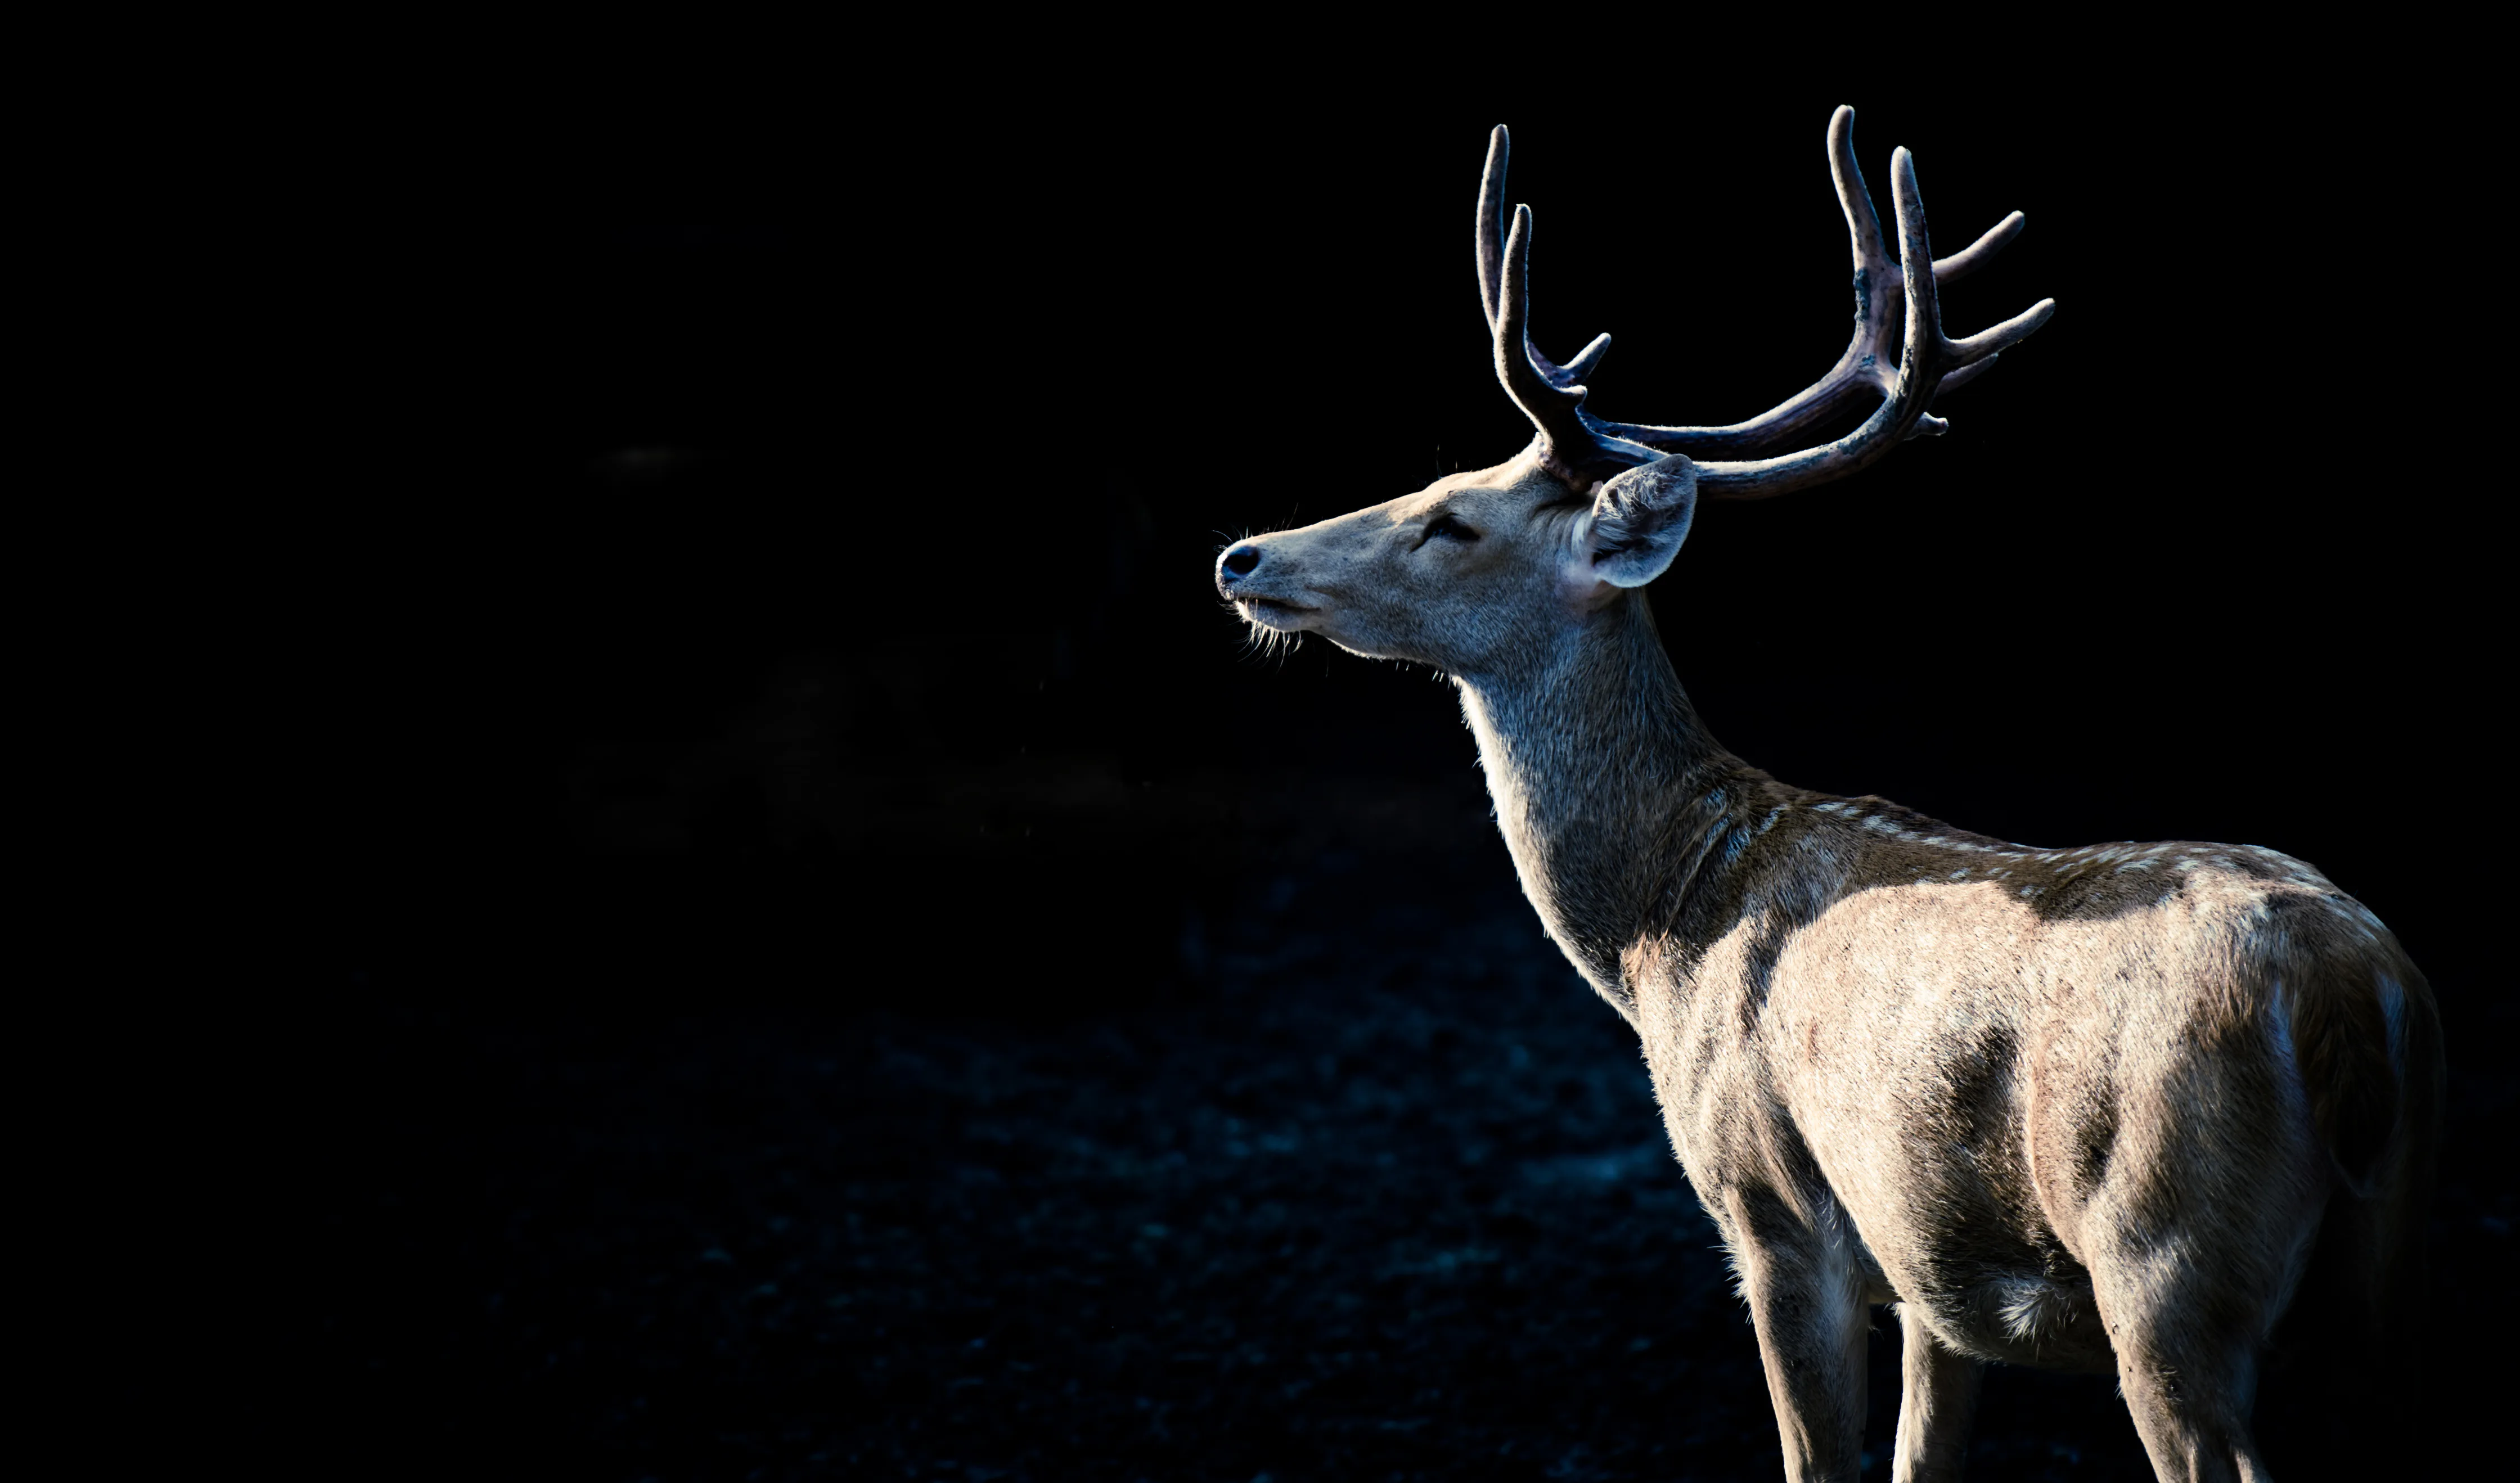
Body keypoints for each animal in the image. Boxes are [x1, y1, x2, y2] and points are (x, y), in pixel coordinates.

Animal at [1211, 108, 2441, 1482]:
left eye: (1449, 521)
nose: (1243, 555)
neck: (1664, 929)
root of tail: (2357, 994)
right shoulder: (1936, 1277)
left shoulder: (1776, 1204)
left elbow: (1819, 1454)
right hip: (2390, 1259)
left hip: (2164, 1252)